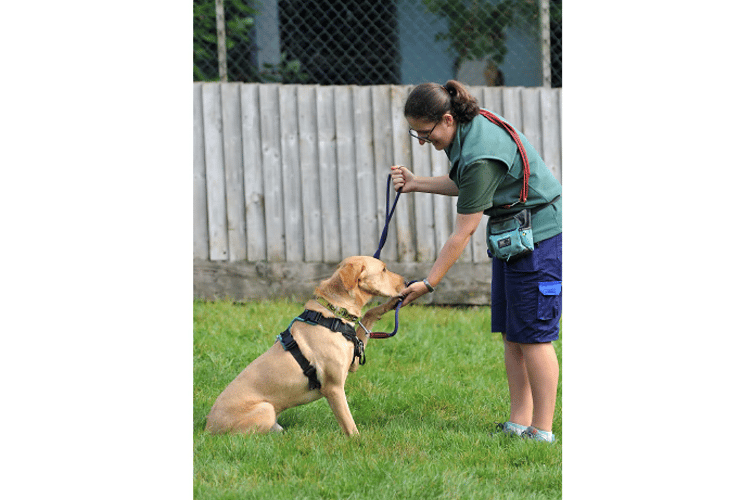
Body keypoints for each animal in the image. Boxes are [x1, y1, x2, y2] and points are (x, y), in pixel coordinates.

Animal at [206, 256, 406, 436]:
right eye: (384, 269)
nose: (405, 281)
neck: (333, 315)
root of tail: (207, 428)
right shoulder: (333, 387)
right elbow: (350, 425)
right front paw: (359, 443)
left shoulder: (353, 361)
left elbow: (369, 315)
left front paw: (393, 302)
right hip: (266, 409)